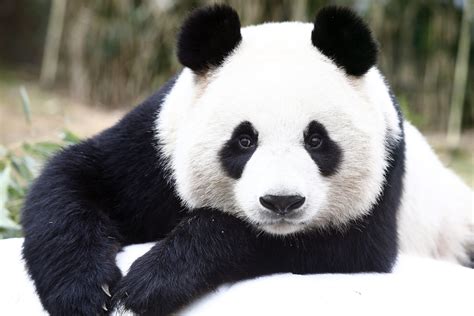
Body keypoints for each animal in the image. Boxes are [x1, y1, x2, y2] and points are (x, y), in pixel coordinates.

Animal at [20, 3, 472, 316]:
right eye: (243, 141)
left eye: (316, 140)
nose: (282, 203)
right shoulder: (154, 148)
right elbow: (73, 180)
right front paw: (83, 292)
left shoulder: (384, 178)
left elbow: (337, 246)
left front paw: (151, 283)